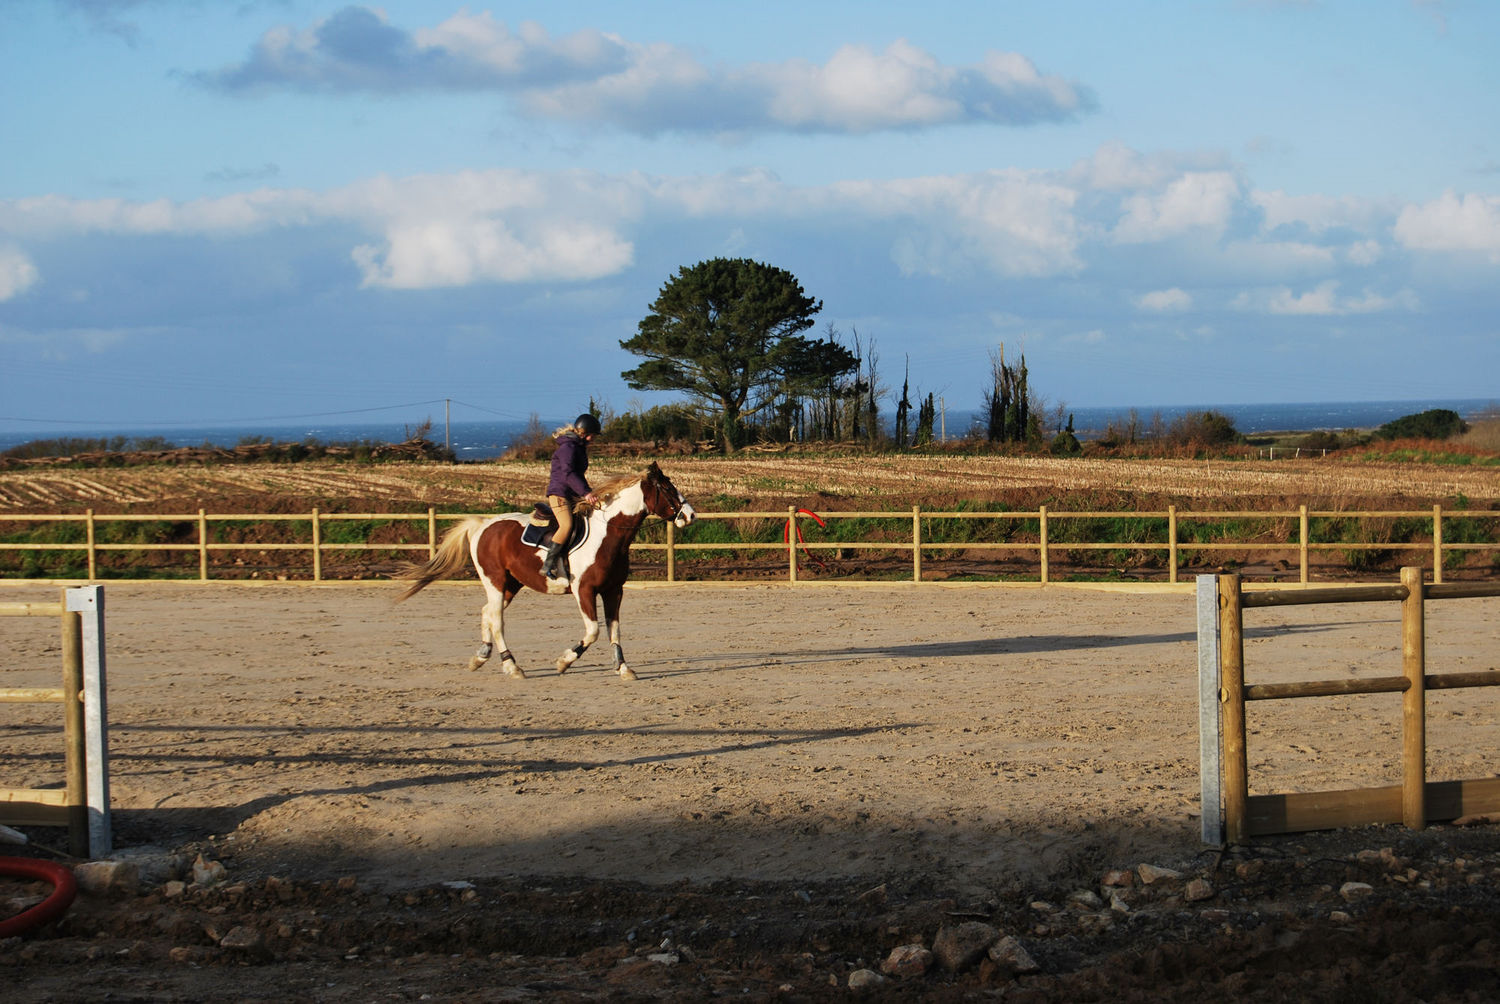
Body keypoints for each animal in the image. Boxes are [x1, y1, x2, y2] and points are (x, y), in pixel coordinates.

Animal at [393, 462, 696, 681]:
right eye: (667, 489)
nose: (690, 515)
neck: (607, 534)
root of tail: (484, 525)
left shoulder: (613, 591)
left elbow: (614, 630)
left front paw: (623, 668)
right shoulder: (584, 591)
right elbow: (593, 631)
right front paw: (563, 662)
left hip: (511, 584)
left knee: (487, 613)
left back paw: (481, 656)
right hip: (495, 580)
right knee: (497, 619)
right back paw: (511, 666)